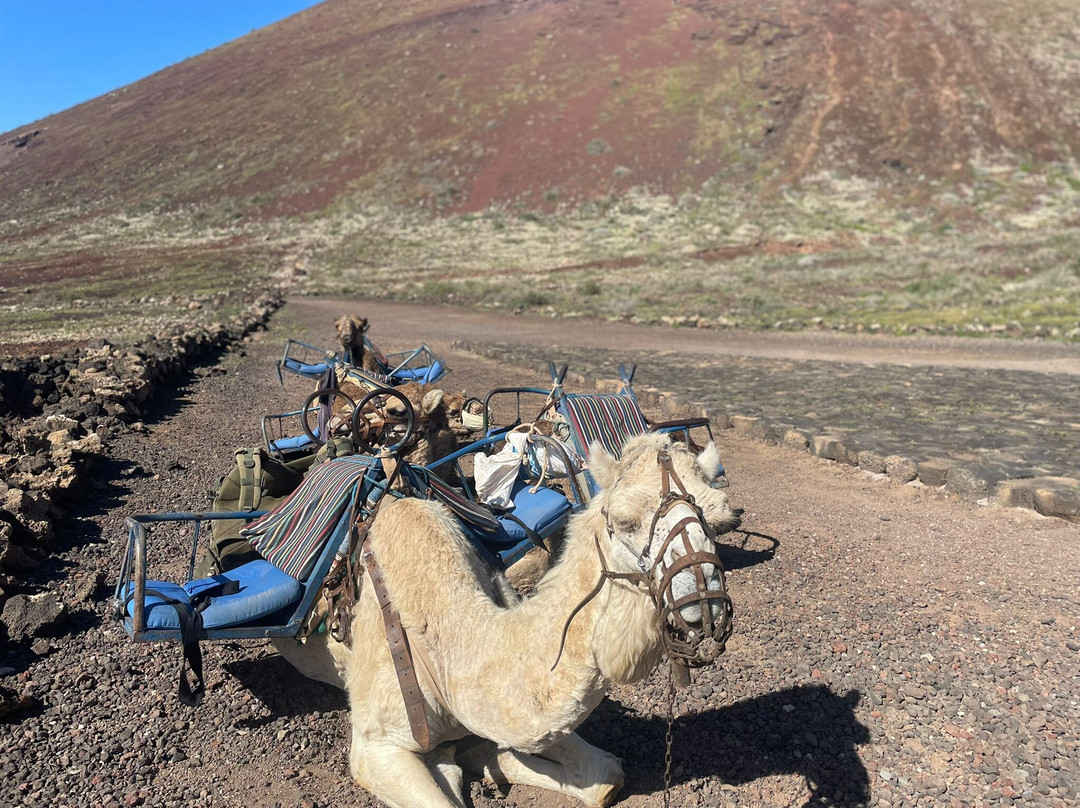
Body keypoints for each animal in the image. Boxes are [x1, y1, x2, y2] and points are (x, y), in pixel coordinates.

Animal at [274, 432, 738, 807]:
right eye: (625, 521)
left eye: (718, 520)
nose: (703, 602)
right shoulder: (375, 747)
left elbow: (606, 776)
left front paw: (480, 757)